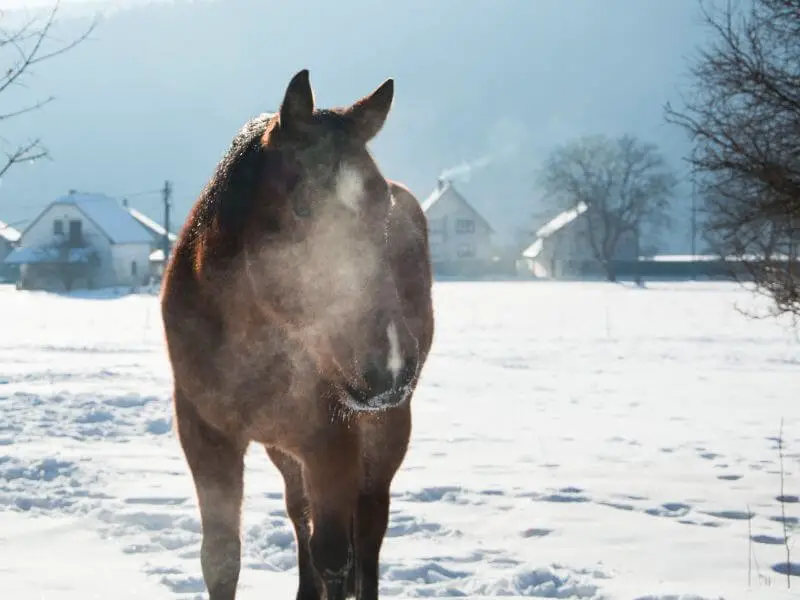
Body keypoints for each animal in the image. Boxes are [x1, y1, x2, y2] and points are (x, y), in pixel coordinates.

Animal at [160, 70, 434, 600]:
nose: (389, 366)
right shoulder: (207, 439)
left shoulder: (332, 441)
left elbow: (336, 559)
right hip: (284, 447)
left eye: (383, 209)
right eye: (304, 210)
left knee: (369, 526)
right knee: (299, 513)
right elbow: (221, 558)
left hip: (384, 432)